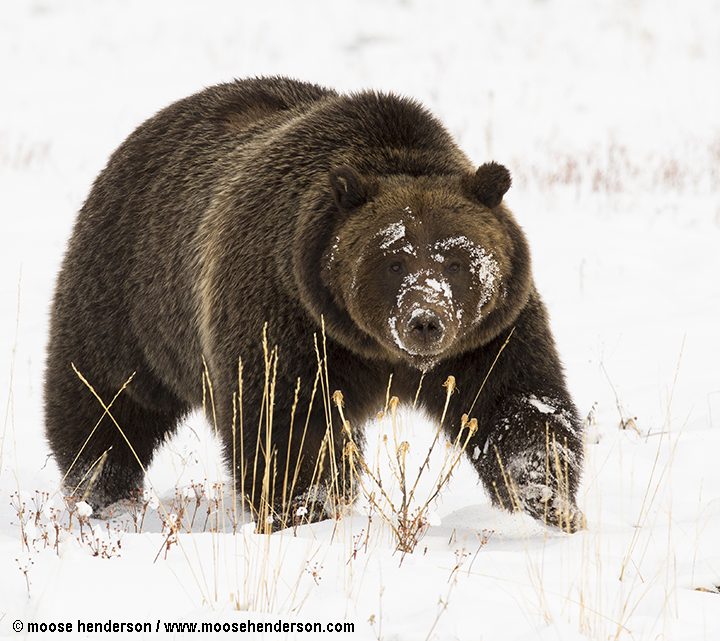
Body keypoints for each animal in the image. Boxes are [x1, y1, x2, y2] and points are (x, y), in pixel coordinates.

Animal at [45, 76, 584, 532]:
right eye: (393, 260)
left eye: (456, 259)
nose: (424, 321)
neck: (379, 354)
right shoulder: (290, 317)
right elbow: (287, 423)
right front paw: (303, 509)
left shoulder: (487, 335)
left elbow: (519, 403)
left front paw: (549, 499)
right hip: (129, 294)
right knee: (105, 402)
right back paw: (101, 493)